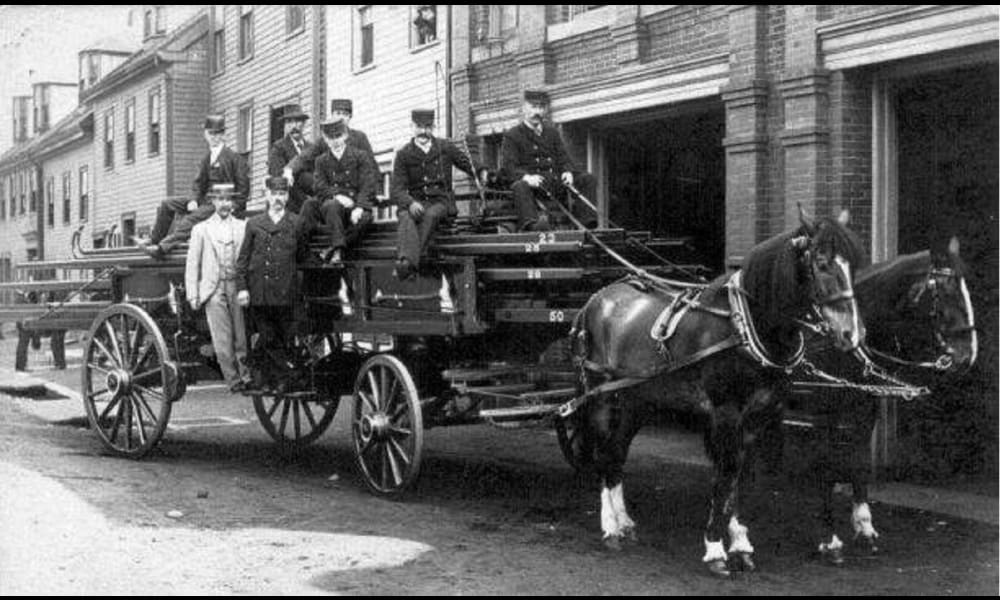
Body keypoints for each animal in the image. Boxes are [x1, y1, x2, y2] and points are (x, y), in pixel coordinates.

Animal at [572, 210, 868, 576]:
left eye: (853, 265)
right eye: (822, 263)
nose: (852, 333)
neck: (744, 327)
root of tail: (596, 298)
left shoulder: (758, 415)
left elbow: (740, 475)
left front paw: (740, 542)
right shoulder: (726, 411)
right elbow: (726, 473)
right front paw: (715, 547)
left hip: (636, 399)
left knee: (616, 452)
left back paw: (624, 521)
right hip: (598, 393)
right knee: (602, 451)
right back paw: (610, 526)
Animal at [800, 237, 980, 564]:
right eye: (947, 293)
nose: (968, 355)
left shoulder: (864, 407)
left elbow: (858, 461)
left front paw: (865, 528)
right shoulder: (823, 411)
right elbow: (827, 465)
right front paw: (829, 539)